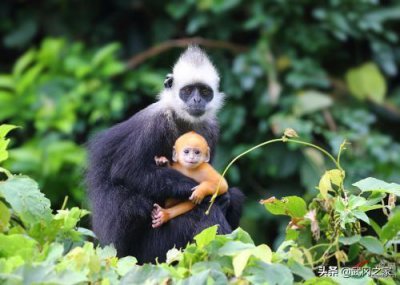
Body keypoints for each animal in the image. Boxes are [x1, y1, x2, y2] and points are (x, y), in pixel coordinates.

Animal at [86, 45, 244, 262]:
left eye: (205, 91)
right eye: (187, 91)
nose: (197, 100)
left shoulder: (211, 128)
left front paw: (221, 196)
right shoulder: (154, 123)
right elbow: (127, 171)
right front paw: (199, 191)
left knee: (236, 197)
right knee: (140, 204)